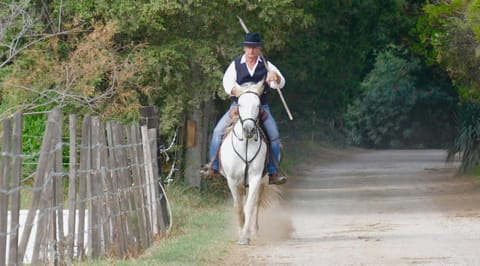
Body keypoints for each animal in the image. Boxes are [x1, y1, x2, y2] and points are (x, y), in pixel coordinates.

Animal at [219, 80, 284, 245]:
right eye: (240, 104)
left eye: (258, 105)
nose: (248, 130)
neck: (246, 146)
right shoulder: (232, 180)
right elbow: (238, 207)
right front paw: (240, 232)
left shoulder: (255, 178)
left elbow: (249, 206)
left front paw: (245, 236)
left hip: (263, 181)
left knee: (256, 203)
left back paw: (255, 230)